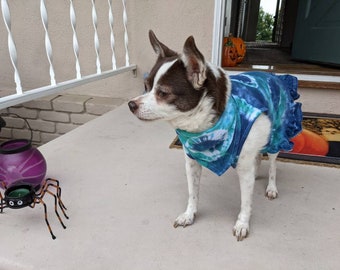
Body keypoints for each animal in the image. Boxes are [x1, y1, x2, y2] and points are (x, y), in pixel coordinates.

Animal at [128, 30, 302, 242]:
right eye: (146, 86)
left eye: (162, 93)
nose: (131, 104)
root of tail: (272, 75)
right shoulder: (192, 162)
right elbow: (193, 192)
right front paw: (189, 214)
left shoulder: (243, 165)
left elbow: (246, 200)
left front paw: (242, 223)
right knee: (257, 158)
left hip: (278, 136)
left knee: (273, 165)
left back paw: (271, 187)